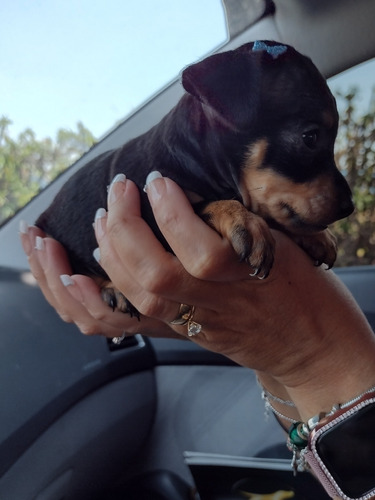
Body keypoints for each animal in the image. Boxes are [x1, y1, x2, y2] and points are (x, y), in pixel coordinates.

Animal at [36, 40, 356, 312]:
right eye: (309, 138)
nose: (349, 208)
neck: (196, 158)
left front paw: (317, 237)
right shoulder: (153, 217)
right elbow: (205, 204)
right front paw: (243, 220)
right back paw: (112, 289)